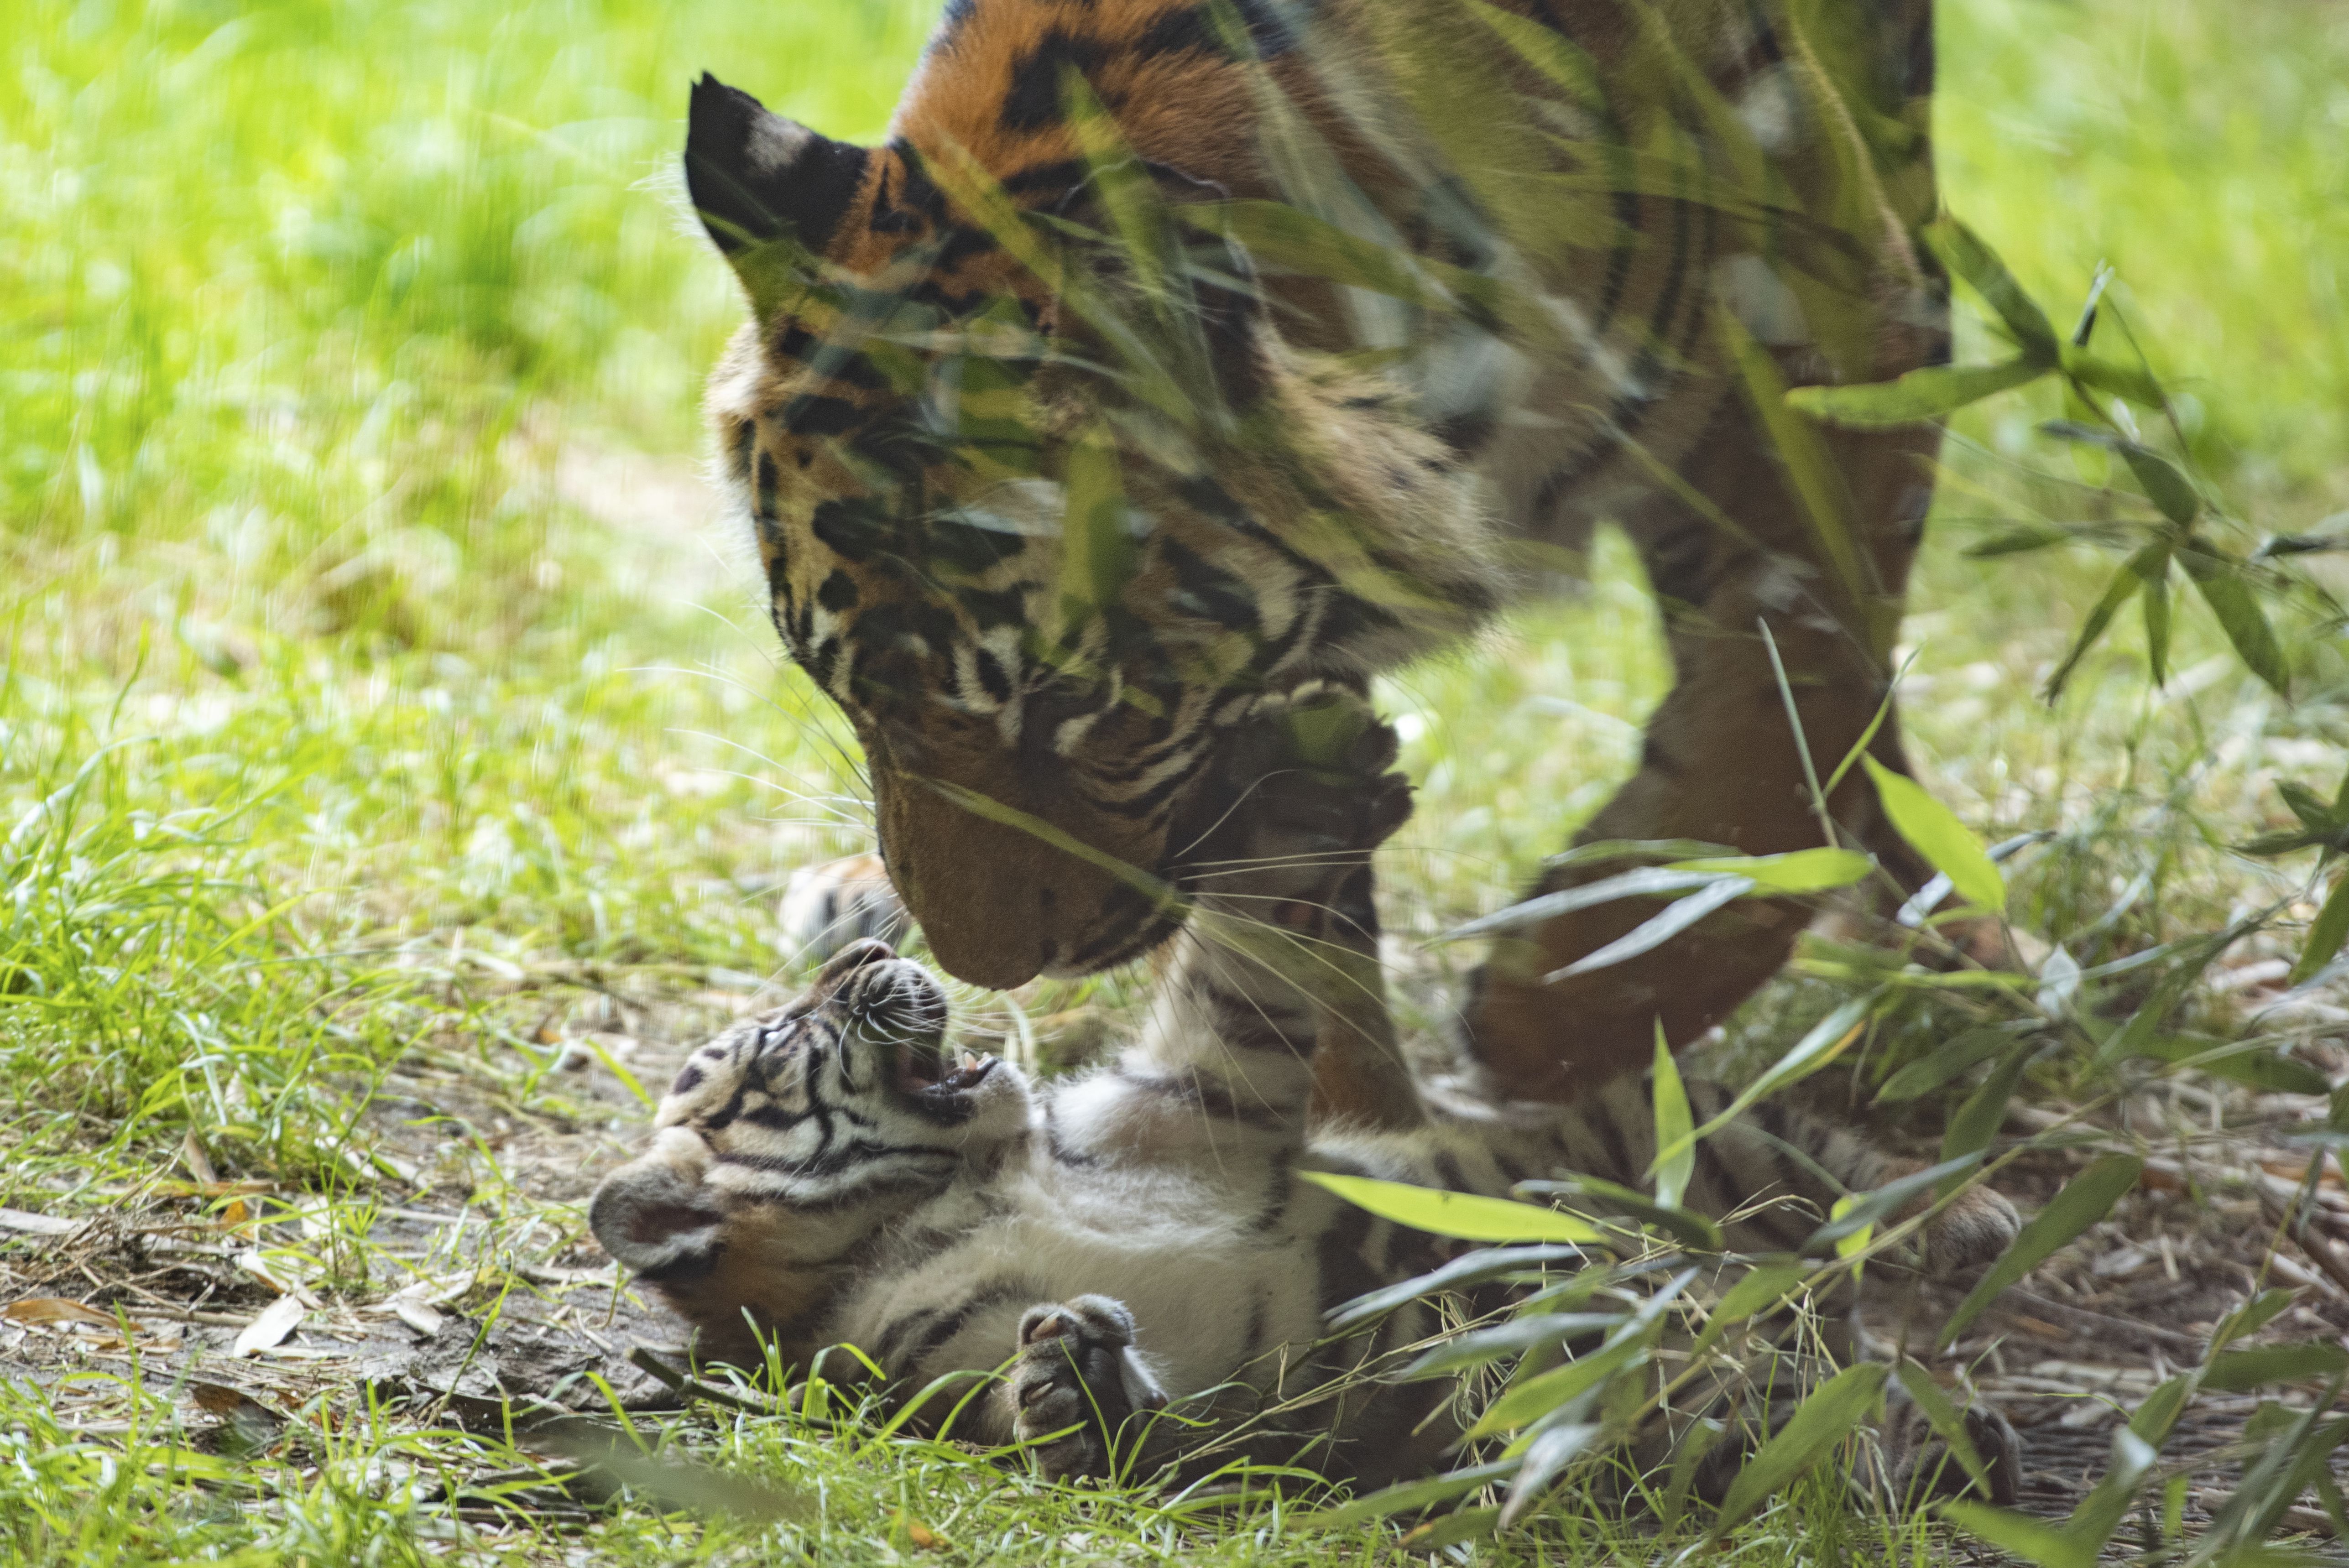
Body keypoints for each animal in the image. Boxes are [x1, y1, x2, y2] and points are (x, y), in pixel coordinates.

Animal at [686, 0, 1954, 1103]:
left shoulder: (1849, 328)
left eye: (1076, 704)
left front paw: (1574, 1000)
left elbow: (1794, 691)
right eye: (841, 694)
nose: (986, 972)